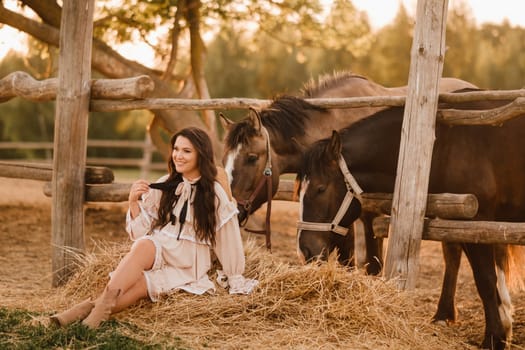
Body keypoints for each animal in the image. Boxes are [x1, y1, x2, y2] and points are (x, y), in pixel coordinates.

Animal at [294, 102, 524, 348]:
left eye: (320, 189)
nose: (304, 249)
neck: (444, 144)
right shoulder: (464, 225)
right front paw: (502, 327)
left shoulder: (476, 221)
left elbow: (485, 280)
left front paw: (494, 338)